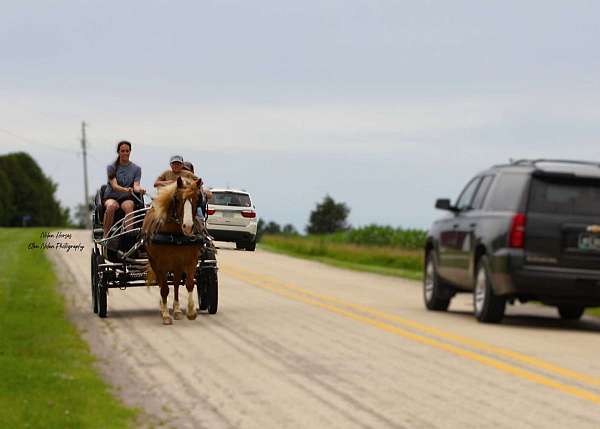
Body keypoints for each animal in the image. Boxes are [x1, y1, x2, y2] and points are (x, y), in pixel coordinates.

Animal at [142, 176, 203, 322]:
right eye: (177, 198)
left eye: (198, 198)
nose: (188, 226)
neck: (176, 235)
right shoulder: (160, 264)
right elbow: (164, 288)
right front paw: (165, 314)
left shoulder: (191, 260)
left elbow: (189, 284)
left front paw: (191, 311)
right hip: (156, 263)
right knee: (162, 284)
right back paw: (164, 307)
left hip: (177, 264)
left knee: (175, 284)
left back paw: (176, 309)